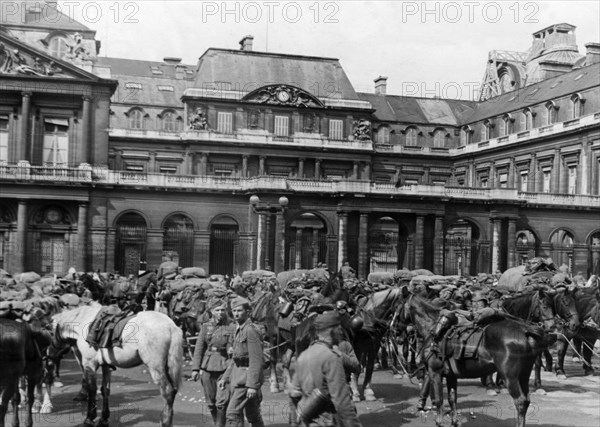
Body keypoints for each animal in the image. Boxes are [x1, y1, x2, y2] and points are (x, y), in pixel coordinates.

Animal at [49, 300, 183, 427]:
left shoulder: (89, 364)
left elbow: (92, 390)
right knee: (173, 391)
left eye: (49, 333)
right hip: (167, 367)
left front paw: (89, 419)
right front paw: (103, 420)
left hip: (156, 368)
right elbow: (105, 390)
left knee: (168, 391)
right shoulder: (106, 366)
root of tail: (171, 327)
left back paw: (165, 422)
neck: (84, 323)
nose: (49, 355)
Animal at [396, 290, 552, 427]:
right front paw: (454, 422)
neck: (435, 329)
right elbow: (452, 399)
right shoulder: (451, 375)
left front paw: (439, 422)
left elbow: (440, 399)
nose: (396, 329)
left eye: (397, 307)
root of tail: (526, 331)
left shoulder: (435, 372)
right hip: (523, 375)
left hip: (511, 377)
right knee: (526, 400)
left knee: (520, 401)